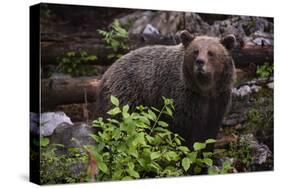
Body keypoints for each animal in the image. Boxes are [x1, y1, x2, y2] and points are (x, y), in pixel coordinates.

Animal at [93, 30, 234, 148]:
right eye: (195, 51)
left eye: (211, 53)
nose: (200, 62)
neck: (205, 89)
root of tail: (107, 72)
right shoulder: (184, 99)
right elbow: (185, 132)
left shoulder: (218, 99)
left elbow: (209, 133)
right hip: (126, 96)